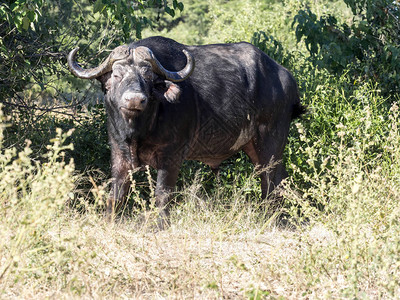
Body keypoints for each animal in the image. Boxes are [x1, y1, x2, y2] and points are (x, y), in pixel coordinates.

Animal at [68, 35, 304, 225]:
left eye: (148, 77)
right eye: (117, 75)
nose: (135, 99)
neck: (140, 129)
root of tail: (286, 78)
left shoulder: (172, 156)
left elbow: (162, 194)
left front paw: (160, 225)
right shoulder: (119, 153)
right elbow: (115, 195)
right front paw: (109, 222)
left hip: (270, 142)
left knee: (271, 181)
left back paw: (273, 219)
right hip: (254, 147)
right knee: (275, 178)